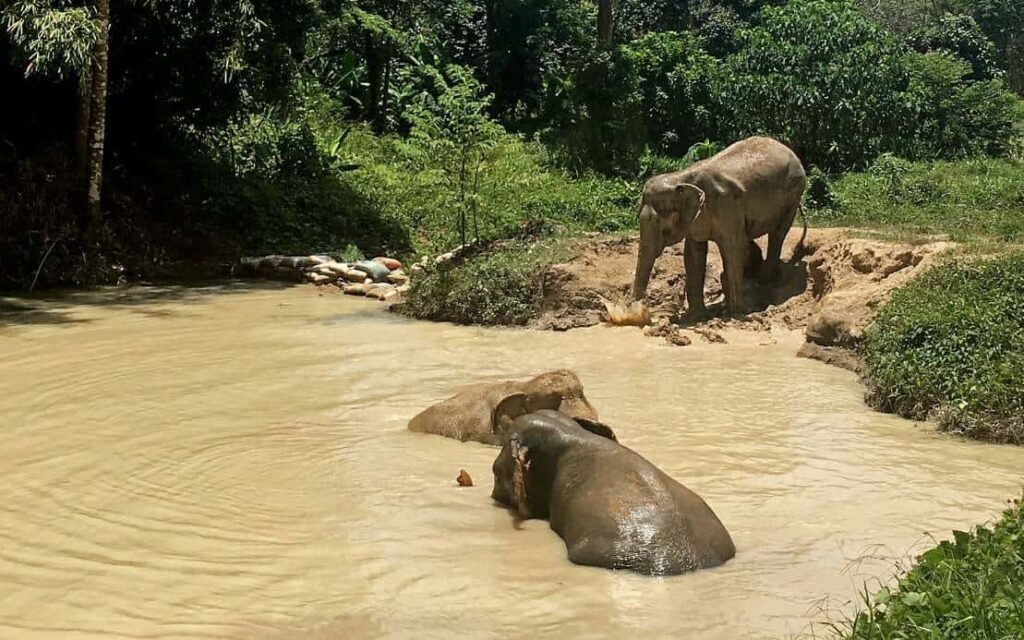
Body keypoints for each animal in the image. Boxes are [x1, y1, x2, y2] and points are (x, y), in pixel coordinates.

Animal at [630, 136, 806, 315]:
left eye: (657, 221)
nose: (636, 308)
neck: (681, 178)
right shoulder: (697, 219)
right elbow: (693, 253)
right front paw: (697, 316)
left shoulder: (727, 207)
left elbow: (733, 249)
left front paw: (734, 314)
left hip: (794, 193)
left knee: (777, 234)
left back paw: (766, 282)